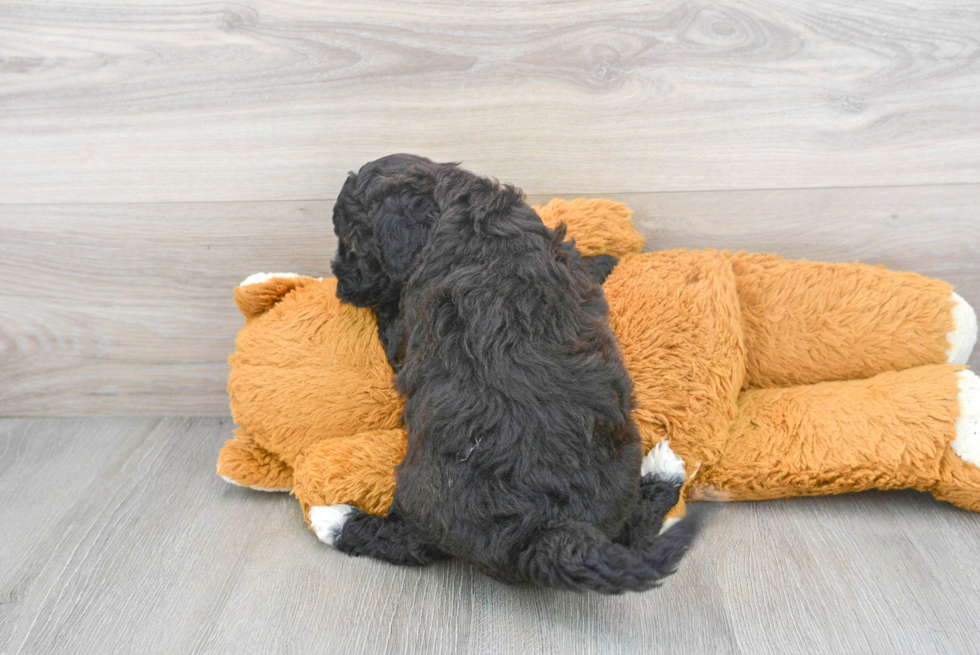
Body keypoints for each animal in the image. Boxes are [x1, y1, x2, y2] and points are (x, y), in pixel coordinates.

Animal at [314, 155, 696, 596]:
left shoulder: (404, 331)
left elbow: (390, 322)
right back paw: (664, 473)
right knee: (634, 530)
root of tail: (546, 531)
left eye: (352, 241)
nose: (339, 281)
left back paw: (333, 518)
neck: (461, 208)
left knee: (408, 544)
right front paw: (606, 260)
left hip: (421, 497)